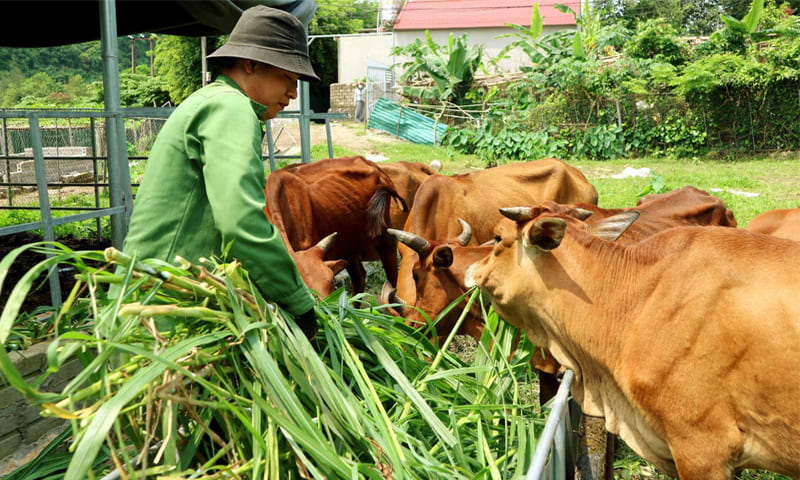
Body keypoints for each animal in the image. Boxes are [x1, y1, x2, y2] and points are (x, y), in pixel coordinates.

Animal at [266, 156, 406, 294]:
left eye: (331, 283)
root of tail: (370, 163)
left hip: (383, 236)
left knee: (392, 276)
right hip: (348, 245)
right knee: (359, 278)